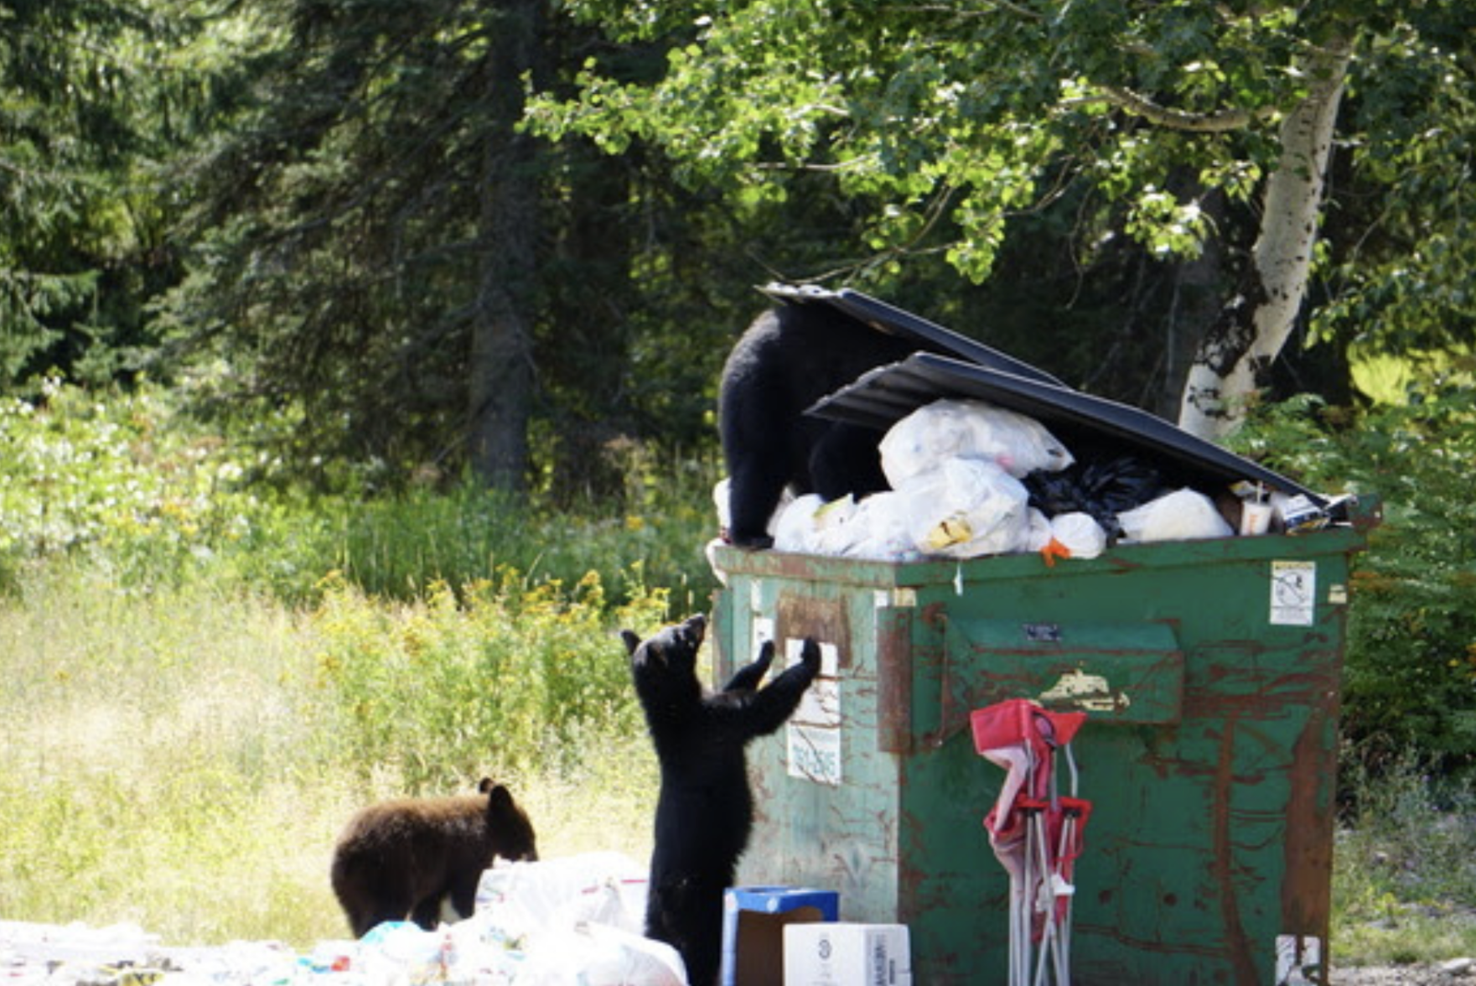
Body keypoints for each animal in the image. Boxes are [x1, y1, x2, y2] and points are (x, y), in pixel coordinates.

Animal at [330, 777, 538, 938]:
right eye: (529, 840)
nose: (536, 860)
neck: (487, 830)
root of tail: (345, 850)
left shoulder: (435, 882)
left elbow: (427, 908)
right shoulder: (467, 859)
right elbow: (465, 894)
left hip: (353, 893)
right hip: (386, 877)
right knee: (382, 914)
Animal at [620, 612, 821, 986]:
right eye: (681, 634)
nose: (699, 617)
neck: (676, 709)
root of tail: (662, 897)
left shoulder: (711, 708)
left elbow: (737, 683)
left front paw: (764, 652)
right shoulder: (715, 724)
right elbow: (761, 708)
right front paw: (809, 657)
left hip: (663, 916)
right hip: (699, 904)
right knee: (699, 952)